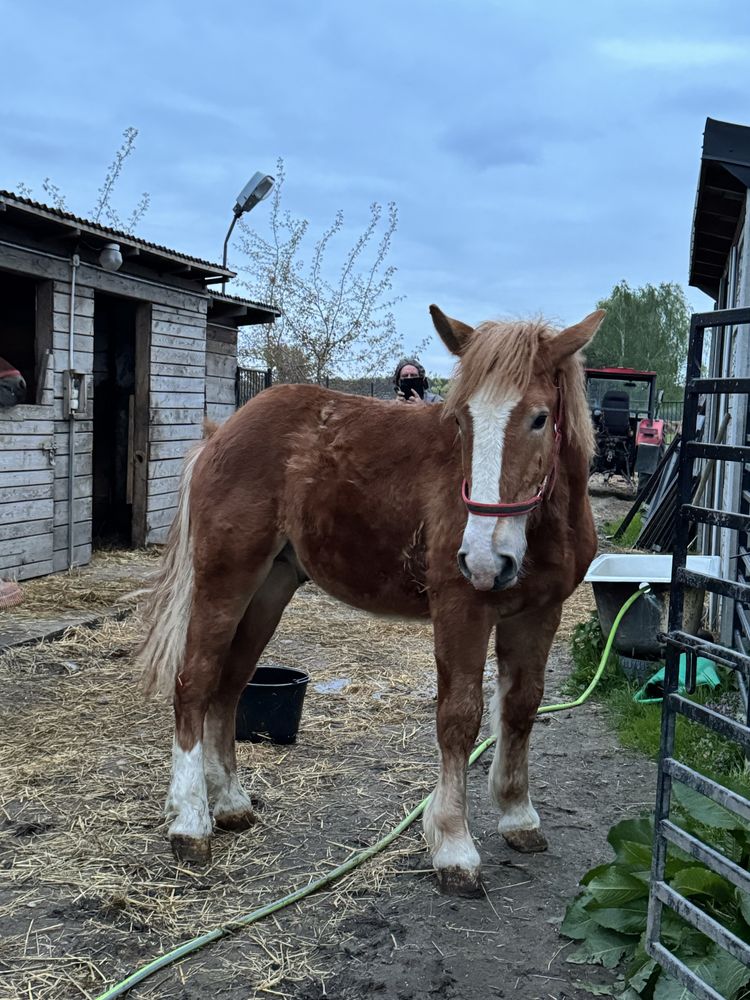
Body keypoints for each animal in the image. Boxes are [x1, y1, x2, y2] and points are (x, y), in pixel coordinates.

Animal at [140, 306, 604, 900]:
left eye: (540, 418)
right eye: (461, 422)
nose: (483, 559)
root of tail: (223, 432)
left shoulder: (538, 612)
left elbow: (521, 707)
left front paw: (518, 817)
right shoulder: (463, 609)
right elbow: (460, 717)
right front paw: (453, 846)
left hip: (269, 589)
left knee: (229, 685)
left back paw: (231, 805)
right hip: (225, 580)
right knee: (194, 683)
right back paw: (190, 823)